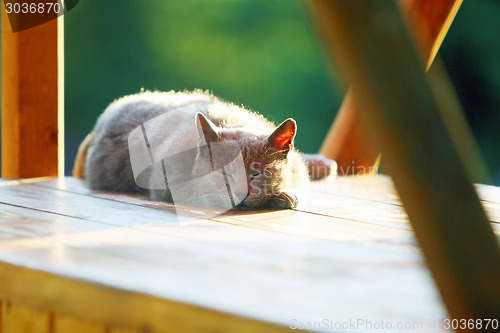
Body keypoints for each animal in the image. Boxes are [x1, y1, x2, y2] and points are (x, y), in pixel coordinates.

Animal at [73, 89, 308, 209]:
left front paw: (284, 194)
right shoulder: (167, 183)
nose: (242, 192)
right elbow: (201, 192)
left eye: (258, 174)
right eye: (224, 173)